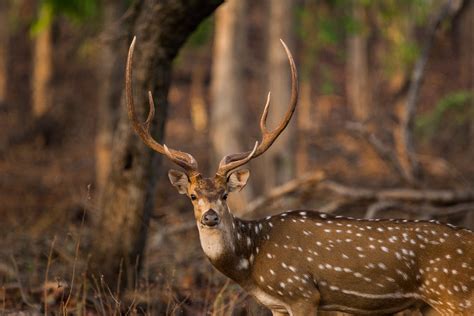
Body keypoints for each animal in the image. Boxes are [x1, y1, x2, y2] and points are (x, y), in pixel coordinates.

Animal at [127, 37, 474, 316]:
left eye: (225, 194)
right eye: (193, 195)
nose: (210, 217)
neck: (251, 263)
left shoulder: (301, 293)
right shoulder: (278, 305)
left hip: (456, 297)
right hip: (430, 306)